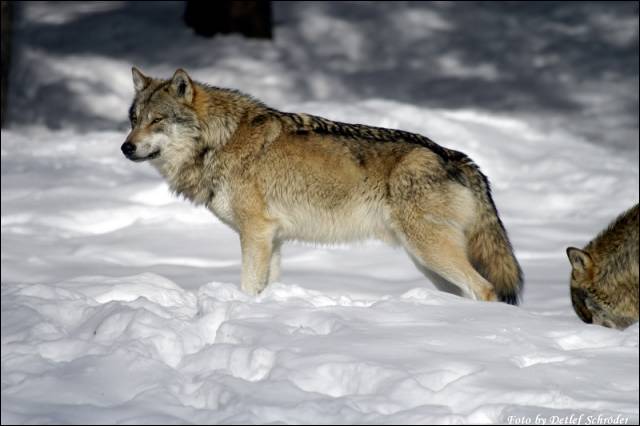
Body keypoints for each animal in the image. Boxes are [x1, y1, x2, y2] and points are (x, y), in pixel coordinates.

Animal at [121, 67, 524, 302]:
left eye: (157, 120)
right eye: (133, 119)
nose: (126, 147)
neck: (221, 140)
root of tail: (455, 156)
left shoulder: (255, 233)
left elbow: (249, 286)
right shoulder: (273, 239)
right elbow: (267, 286)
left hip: (429, 251)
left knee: (485, 289)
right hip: (426, 261)